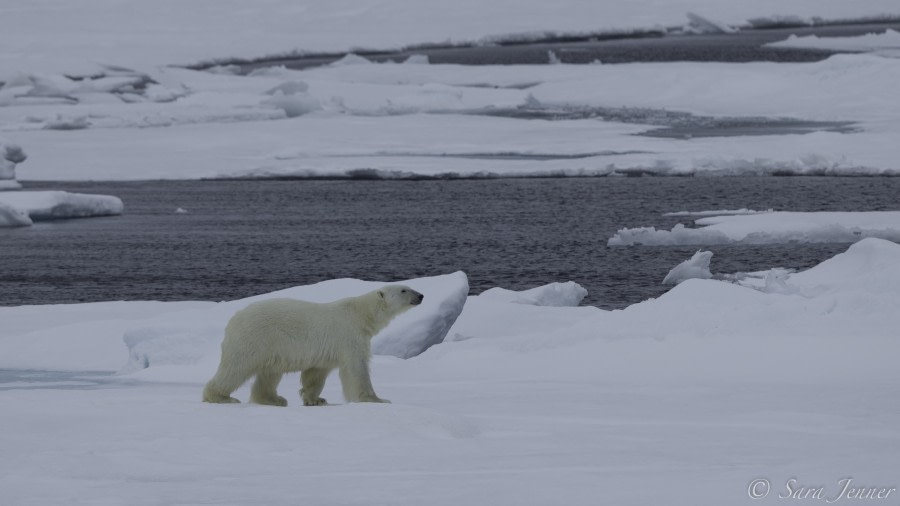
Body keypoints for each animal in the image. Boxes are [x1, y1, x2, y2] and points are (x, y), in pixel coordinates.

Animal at [204, 286, 422, 406]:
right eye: (404, 289)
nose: (421, 296)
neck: (361, 314)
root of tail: (233, 319)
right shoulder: (349, 335)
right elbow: (356, 369)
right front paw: (376, 399)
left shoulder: (326, 351)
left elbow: (316, 374)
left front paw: (315, 399)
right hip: (254, 339)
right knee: (236, 368)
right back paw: (220, 396)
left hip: (272, 347)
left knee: (270, 373)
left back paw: (274, 399)